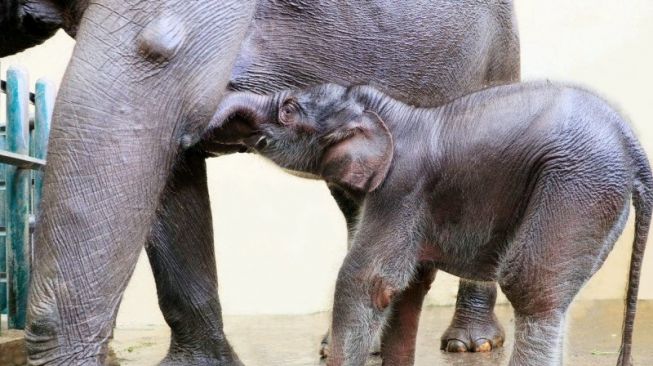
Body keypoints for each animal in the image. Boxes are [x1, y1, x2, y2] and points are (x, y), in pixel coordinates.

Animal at [196, 82, 648, 366]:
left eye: (288, 110)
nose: (205, 138)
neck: (388, 113)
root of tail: (633, 144)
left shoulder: (401, 189)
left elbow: (369, 282)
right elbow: (408, 288)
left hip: (577, 185)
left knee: (532, 288)